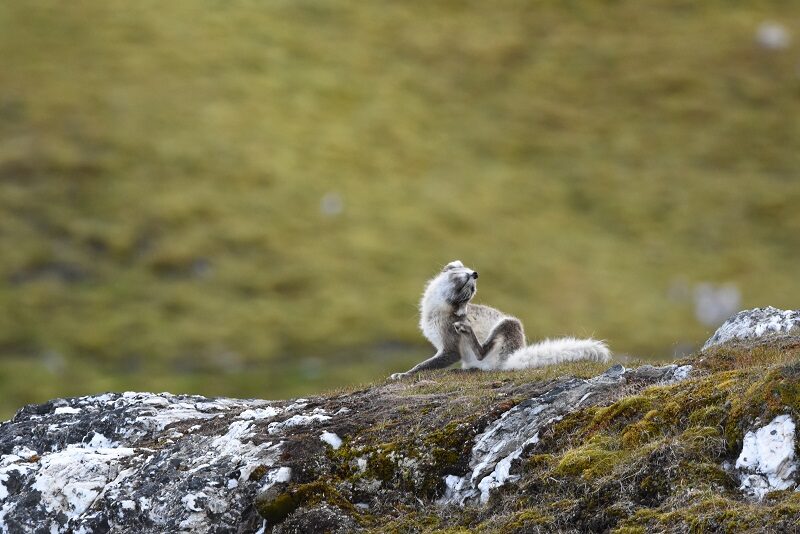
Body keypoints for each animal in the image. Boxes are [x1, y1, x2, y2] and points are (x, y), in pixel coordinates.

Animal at [390, 260, 608, 378]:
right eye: (465, 278)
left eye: (471, 290)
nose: (475, 274)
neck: (435, 310)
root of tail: (513, 356)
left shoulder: (450, 347)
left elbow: (424, 365)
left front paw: (403, 374)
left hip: (508, 323)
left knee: (481, 352)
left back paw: (468, 332)